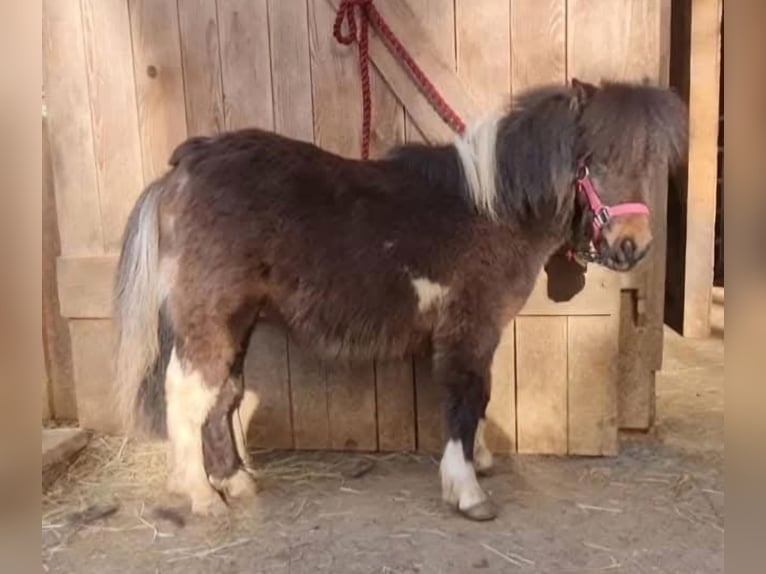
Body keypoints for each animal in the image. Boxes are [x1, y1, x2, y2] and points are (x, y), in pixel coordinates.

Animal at [114, 80, 688, 520]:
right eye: (596, 160)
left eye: (650, 163)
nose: (633, 246)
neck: (491, 209)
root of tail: (185, 167)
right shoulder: (470, 326)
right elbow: (467, 395)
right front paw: (467, 491)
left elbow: (477, 397)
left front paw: (479, 461)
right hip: (211, 316)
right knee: (187, 395)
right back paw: (203, 498)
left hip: (240, 320)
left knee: (224, 394)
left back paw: (236, 483)